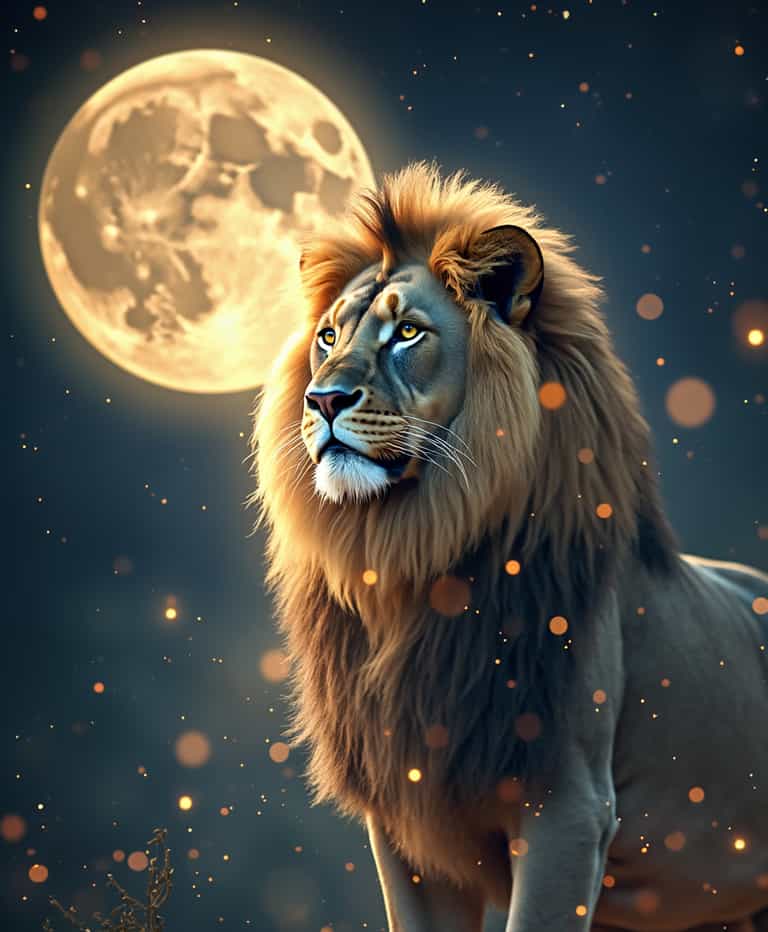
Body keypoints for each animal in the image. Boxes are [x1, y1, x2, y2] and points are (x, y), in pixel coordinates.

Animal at [250, 162, 768, 932]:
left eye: (408, 332)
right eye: (327, 336)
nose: (322, 400)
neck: (409, 567)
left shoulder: (570, 808)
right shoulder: (405, 822)